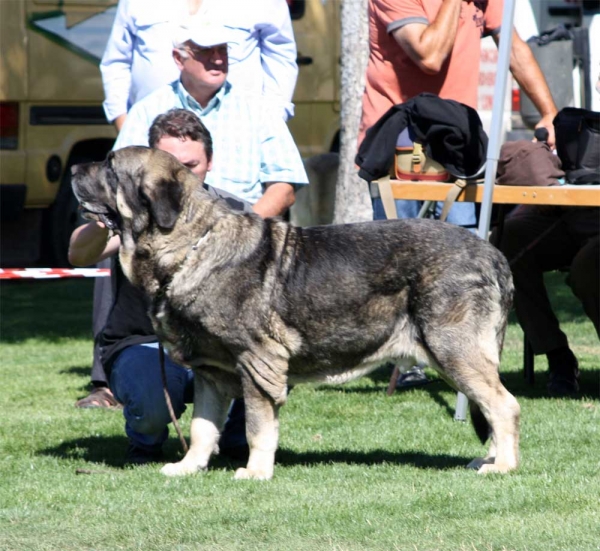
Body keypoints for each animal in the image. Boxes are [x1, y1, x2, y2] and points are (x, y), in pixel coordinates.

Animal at [71, 146, 520, 478]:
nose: (74, 167)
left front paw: (255, 472)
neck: (189, 246)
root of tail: (493, 253)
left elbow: (257, 426)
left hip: (453, 349)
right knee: (491, 404)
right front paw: (188, 467)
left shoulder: (257, 361)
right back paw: (490, 459)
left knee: (503, 405)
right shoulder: (211, 372)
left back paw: (503, 467)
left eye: (110, 166)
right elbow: (202, 428)